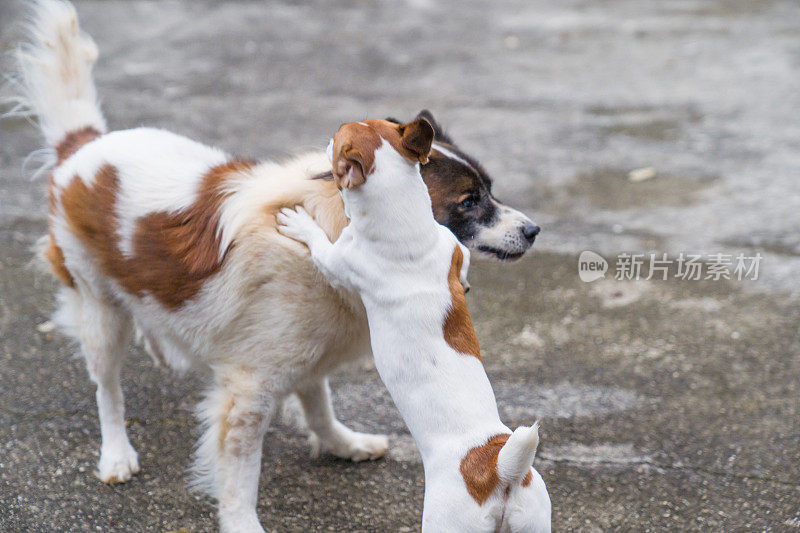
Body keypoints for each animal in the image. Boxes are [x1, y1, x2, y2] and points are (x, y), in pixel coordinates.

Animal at [280, 120, 552, 532]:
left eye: (339, 138)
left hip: (445, 520)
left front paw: (298, 222)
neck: (406, 227)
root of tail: (496, 470)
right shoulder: (453, 246)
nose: (325, 138)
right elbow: (463, 258)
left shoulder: (337, 260)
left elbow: (317, 243)